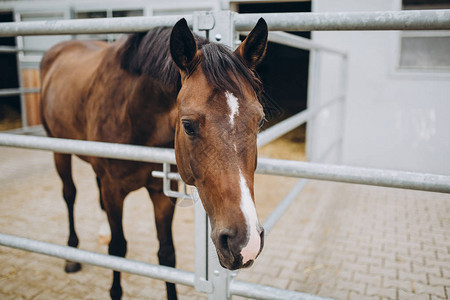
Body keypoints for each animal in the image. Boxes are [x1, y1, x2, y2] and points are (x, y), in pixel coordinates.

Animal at [39, 17, 268, 298]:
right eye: (188, 125)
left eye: (259, 121)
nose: (245, 243)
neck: (131, 112)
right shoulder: (114, 191)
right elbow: (118, 249)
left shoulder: (160, 193)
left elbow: (166, 254)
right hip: (59, 150)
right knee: (69, 194)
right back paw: (71, 253)